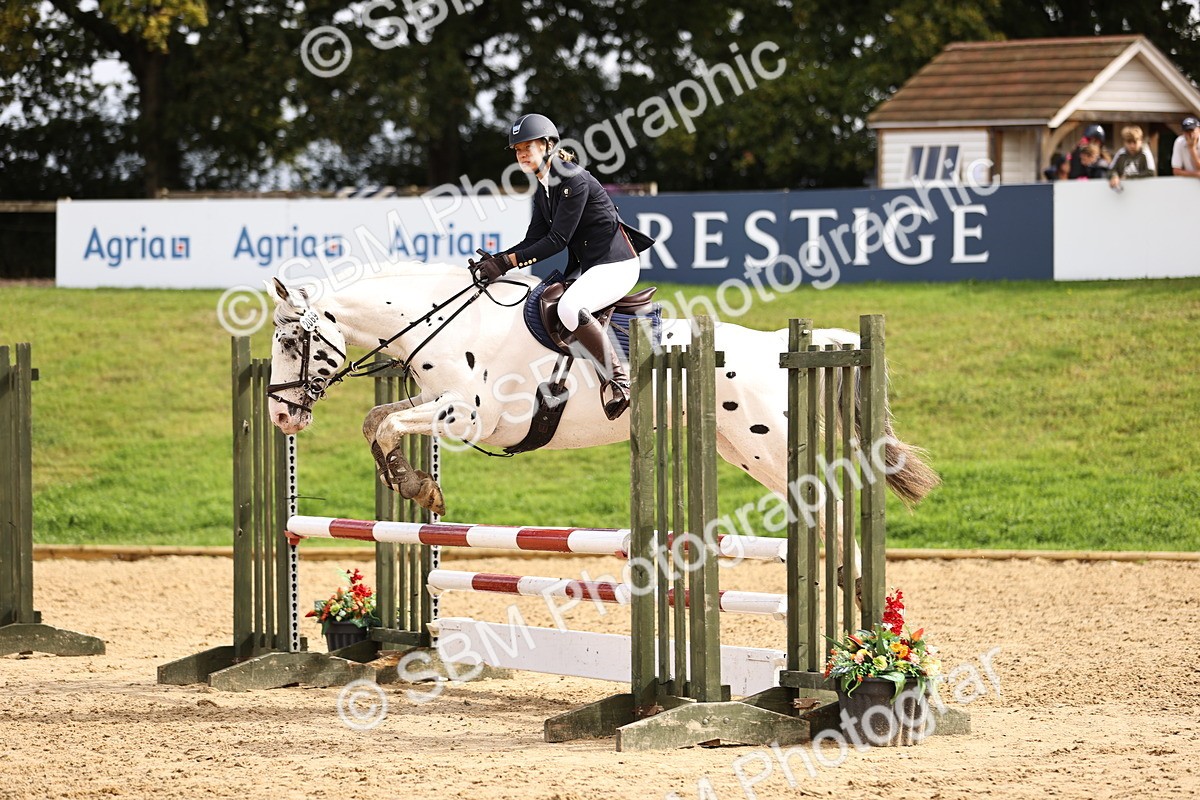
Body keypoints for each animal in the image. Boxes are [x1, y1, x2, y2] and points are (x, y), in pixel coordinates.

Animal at [264, 263, 939, 525]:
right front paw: (415, 485)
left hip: (766, 449)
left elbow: (384, 424)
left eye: (293, 342)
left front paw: (415, 486)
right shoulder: (436, 404)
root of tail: (782, 344)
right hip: (737, 450)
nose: (279, 416)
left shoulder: (470, 418)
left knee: (825, 507)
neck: (444, 322)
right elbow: (378, 417)